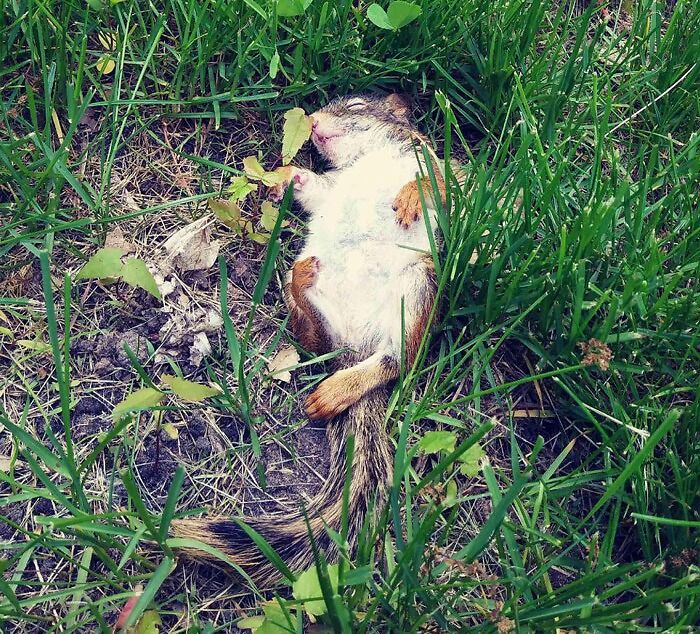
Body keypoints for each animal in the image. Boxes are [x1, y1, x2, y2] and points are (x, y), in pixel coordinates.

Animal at [172, 94, 446, 585]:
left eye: (355, 103)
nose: (313, 121)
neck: (365, 158)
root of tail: (353, 345)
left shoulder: (434, 165)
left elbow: (435, 181)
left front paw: (410, 198)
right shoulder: (328, 188)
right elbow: (314, 187)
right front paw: (284, 175)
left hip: (416, 292)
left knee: (395, 362)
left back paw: (336, 390)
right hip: (318, 301)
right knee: (315, 339)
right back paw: (304, 289)